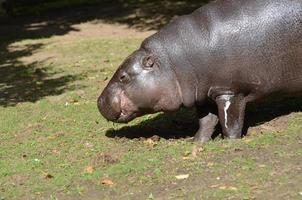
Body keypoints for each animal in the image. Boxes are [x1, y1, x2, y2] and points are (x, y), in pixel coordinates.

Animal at [98, 0, 302, 142]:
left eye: (123, 76)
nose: (98, 101)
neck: (170, 62)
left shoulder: (229, 92)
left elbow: (230, 121)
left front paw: (229, 141)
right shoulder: (204, 95)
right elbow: (206, 121)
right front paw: (196, 141)